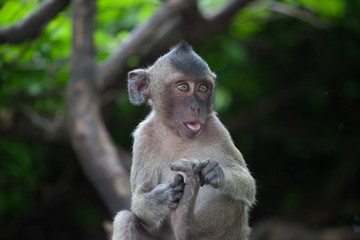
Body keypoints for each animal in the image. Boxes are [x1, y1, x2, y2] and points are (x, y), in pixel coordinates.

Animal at [112, 42, 256, 240]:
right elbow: (140, 199)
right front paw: (159, 199)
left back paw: (185, 225)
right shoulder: (143, 138)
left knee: (233, 200)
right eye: (183, 87)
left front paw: (215, 171)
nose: (196, 107)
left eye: (203, 88)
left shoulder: (218, 129)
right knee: (125, 219)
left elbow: (248, 186)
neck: (178, 135)